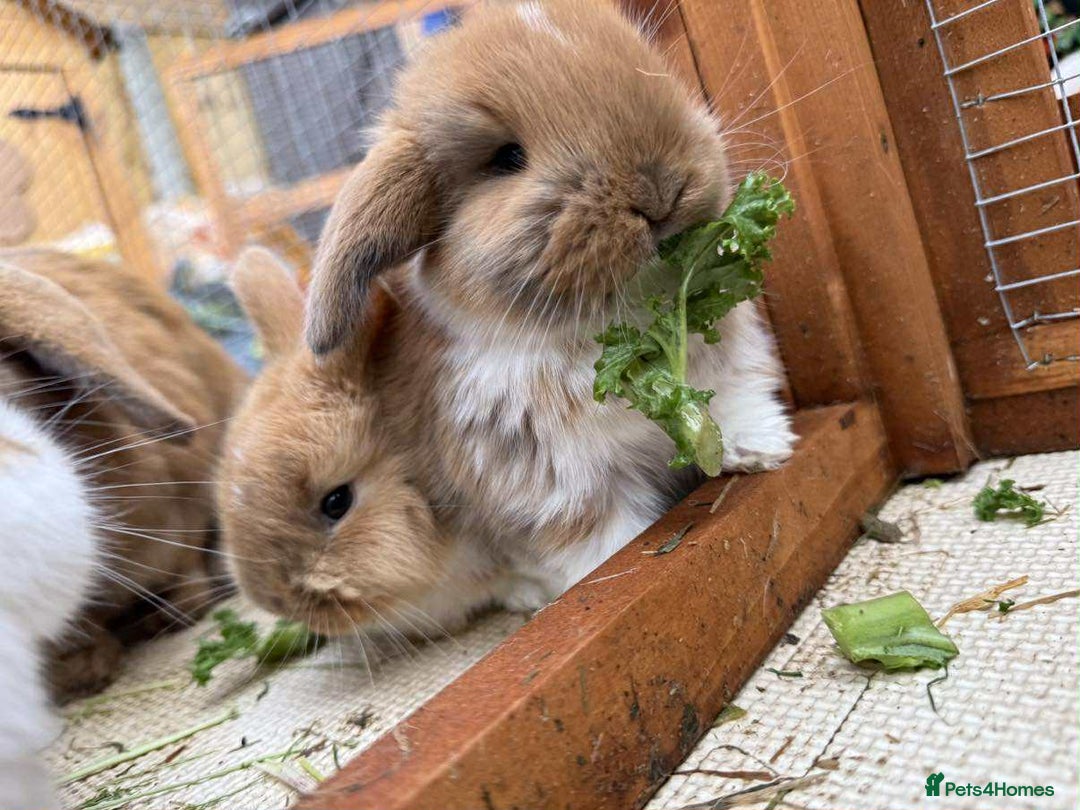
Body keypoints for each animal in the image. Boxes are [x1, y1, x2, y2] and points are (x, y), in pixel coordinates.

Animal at [302, 0, 796, 605]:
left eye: (656, 72)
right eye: (507, 158)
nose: (660, 188)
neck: (614, 327)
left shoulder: (732, 368)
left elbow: (736, 402)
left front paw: (767, 450)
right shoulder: (558, 488)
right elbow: (599, 538)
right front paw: (611, 575)